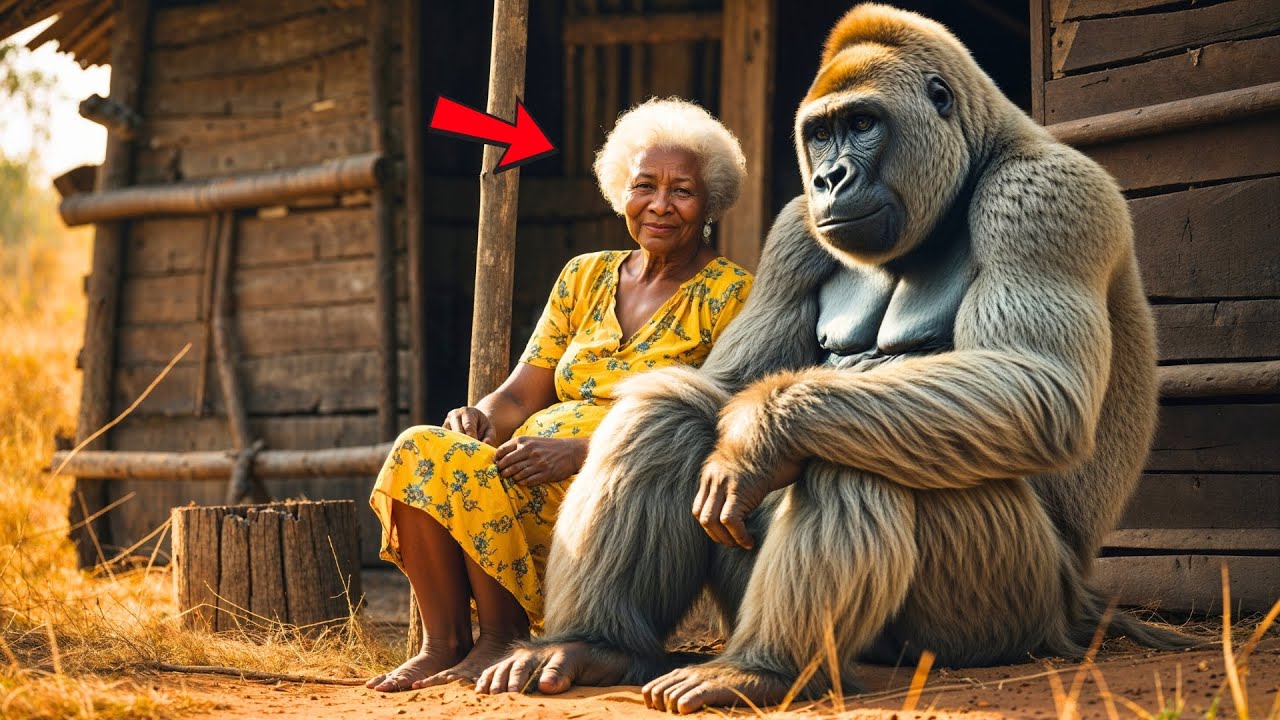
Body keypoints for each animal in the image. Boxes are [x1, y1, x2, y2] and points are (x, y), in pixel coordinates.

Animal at [475, 4, 1192, 713]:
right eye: (820, 134)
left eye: (863, 124)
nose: (828, 177)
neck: (975, 158)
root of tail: (1080, 607)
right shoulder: (794, 231)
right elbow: (719, 386)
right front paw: (738, 424)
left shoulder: (1042, 195)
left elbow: (1038, 385)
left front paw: (761, 433)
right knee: (671, 412)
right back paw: (595, 644)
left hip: (1021, 604)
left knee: (850, 450)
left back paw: (761, 667)